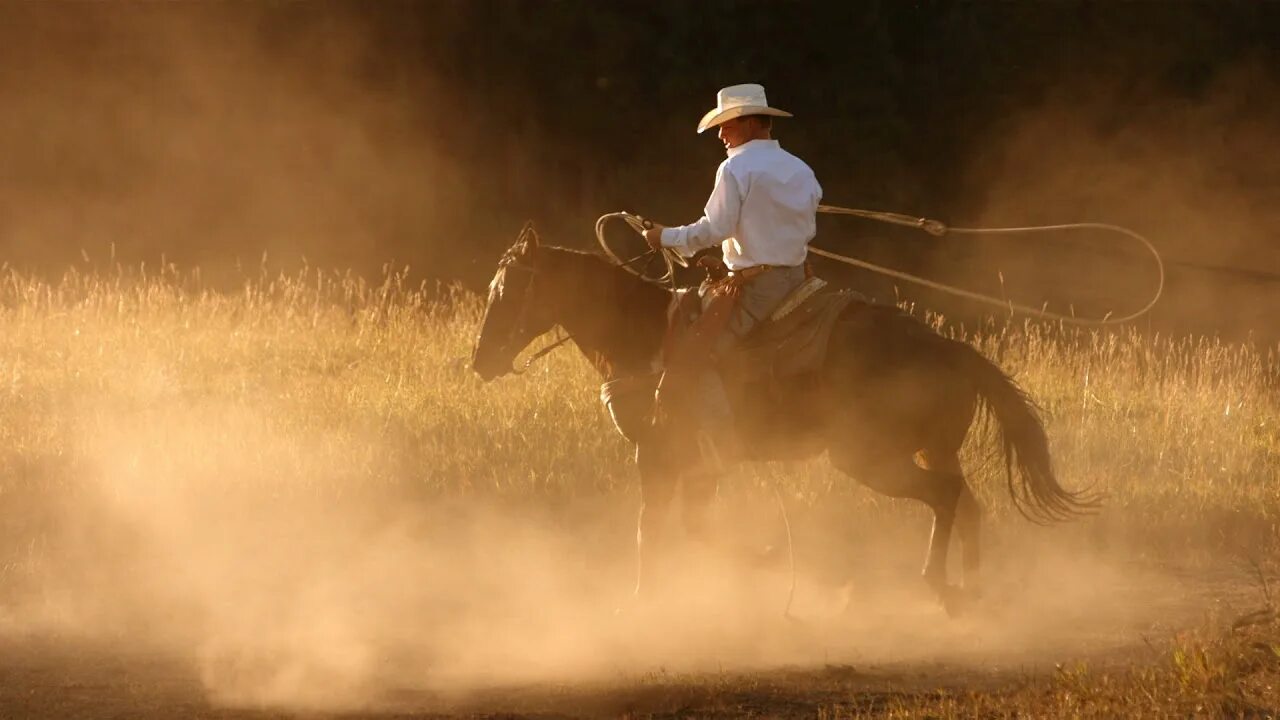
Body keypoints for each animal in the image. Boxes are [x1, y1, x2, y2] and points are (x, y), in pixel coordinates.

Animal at [476, 228, 1095, 609]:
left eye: (507, 289)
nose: (481, 361)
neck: (647, 336)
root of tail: (953, 349)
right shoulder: (701, 464)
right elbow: (695, 527)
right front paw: (770, 562)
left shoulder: (655, 454)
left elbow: (652, 530)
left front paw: (640, 600)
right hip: (931, 449)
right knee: (968, 506)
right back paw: (972, 591)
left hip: (869, 458)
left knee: (945, 497)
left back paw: (939, 586)